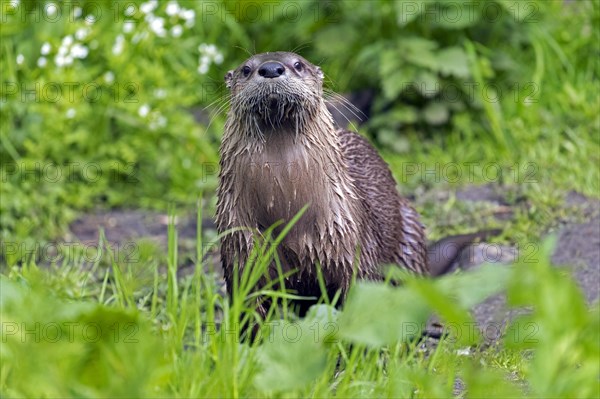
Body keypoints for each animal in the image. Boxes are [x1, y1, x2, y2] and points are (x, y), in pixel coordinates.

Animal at [217, 50, 432, 318]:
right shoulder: (242, 249)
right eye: (246, 69)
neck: (287, 211)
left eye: (298, 64)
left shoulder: (353, 248)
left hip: (410, 237)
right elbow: (249, 309)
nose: (271, 68)